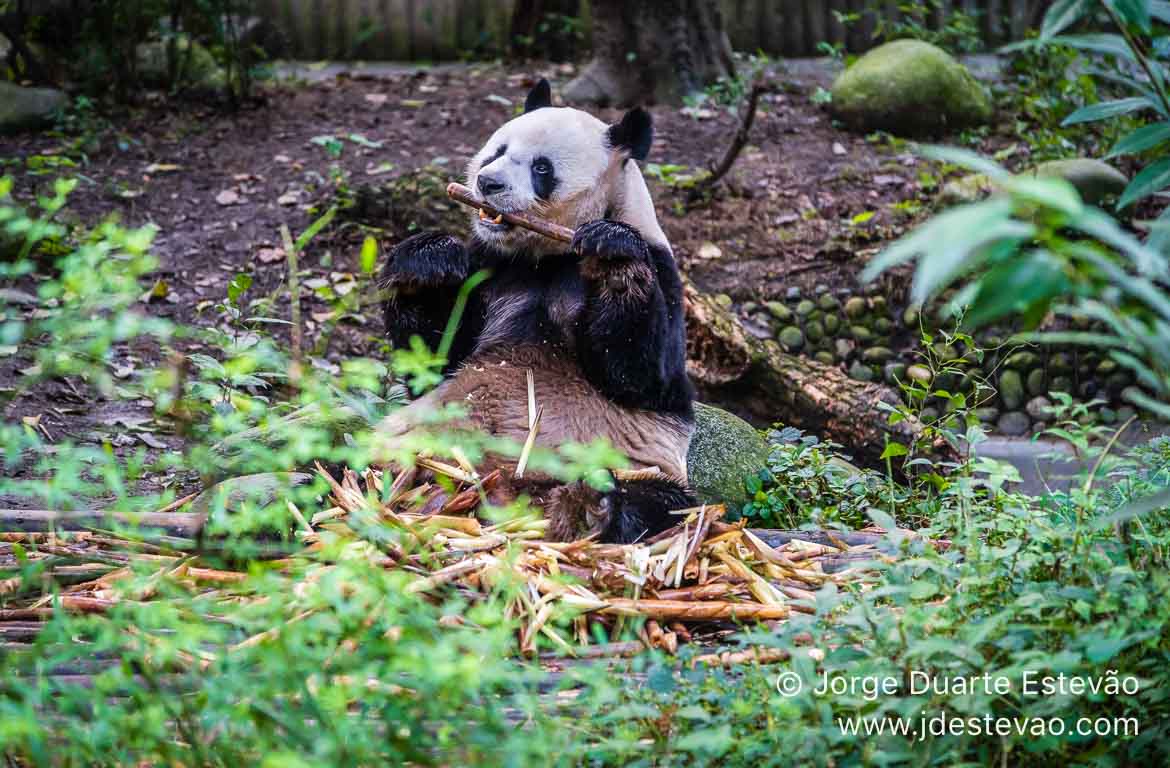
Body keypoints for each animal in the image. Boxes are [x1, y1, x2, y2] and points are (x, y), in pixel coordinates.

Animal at [376, 79, 692, 545]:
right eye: (498, 150)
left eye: (542, 168)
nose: (488, 182)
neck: (546, 257)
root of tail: (503, 486)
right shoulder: (491, 267)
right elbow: (436, 359)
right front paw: (427, 263)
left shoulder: (663, 271)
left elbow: (645, 378)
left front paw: (613, 254)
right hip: (410, 442)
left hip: (632, 464)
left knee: (658, 503)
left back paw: (588, 508)